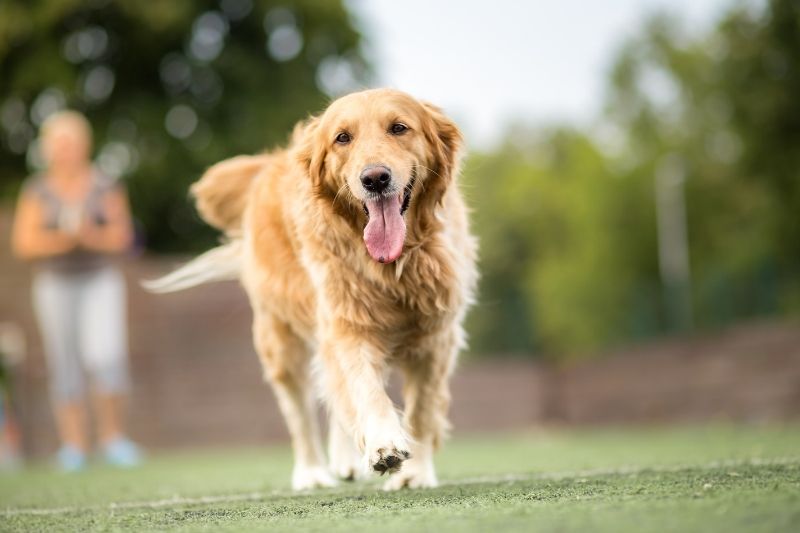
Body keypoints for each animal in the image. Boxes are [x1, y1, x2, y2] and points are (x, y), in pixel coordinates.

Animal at [147, 88, 476, 490]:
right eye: (342, 138)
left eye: (399, 128)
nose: (375, 179)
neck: (392, 266)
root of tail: (270, 163)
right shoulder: (347, 324)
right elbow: (364, 389)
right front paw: (383, 443)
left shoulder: (436, 336)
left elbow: (423, 410)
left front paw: (414, 474)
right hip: (280, 341)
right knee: (300, 413)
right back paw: (313, 474)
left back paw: (345, 462)